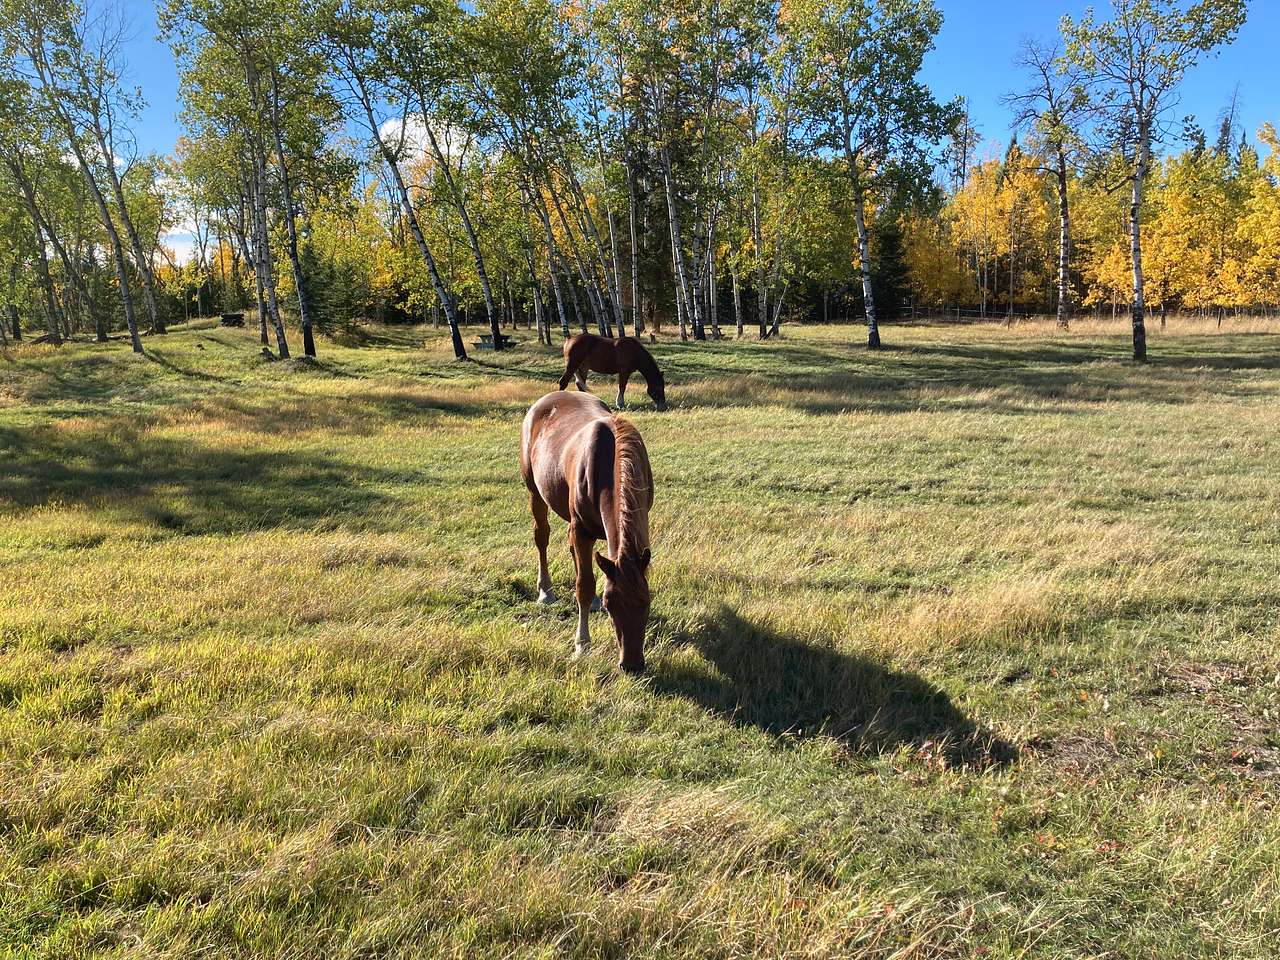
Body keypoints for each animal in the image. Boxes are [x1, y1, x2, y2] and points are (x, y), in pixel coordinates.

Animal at [520, 390, 654, 673]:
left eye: (646, 602)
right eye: (610, 605)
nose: (632, 665)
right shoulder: (581, 529)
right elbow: (584, 585)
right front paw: (582, 644)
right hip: (535, 492)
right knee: (542, 537)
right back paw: (545, 591)